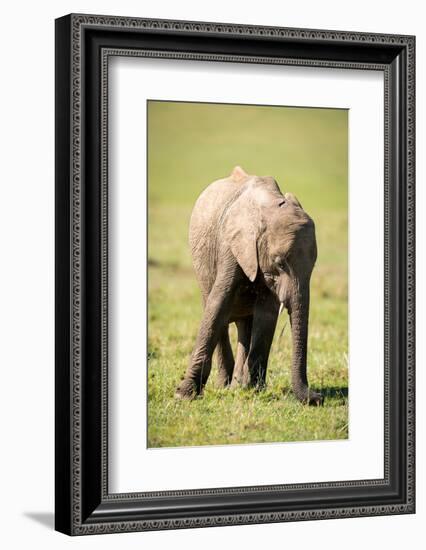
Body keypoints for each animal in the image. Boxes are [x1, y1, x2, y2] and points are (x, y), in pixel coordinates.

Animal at [175, 166, 322, 408]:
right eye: (280, 263)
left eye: (314, 266)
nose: (316, 398)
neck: (270, 205)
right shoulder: (232, 244)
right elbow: (218, 304)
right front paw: (184, 395)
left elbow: (267, 314)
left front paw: (255, 390)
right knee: (218, 314)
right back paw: (225, 385)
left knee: (245, 325)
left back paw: (237, 386)